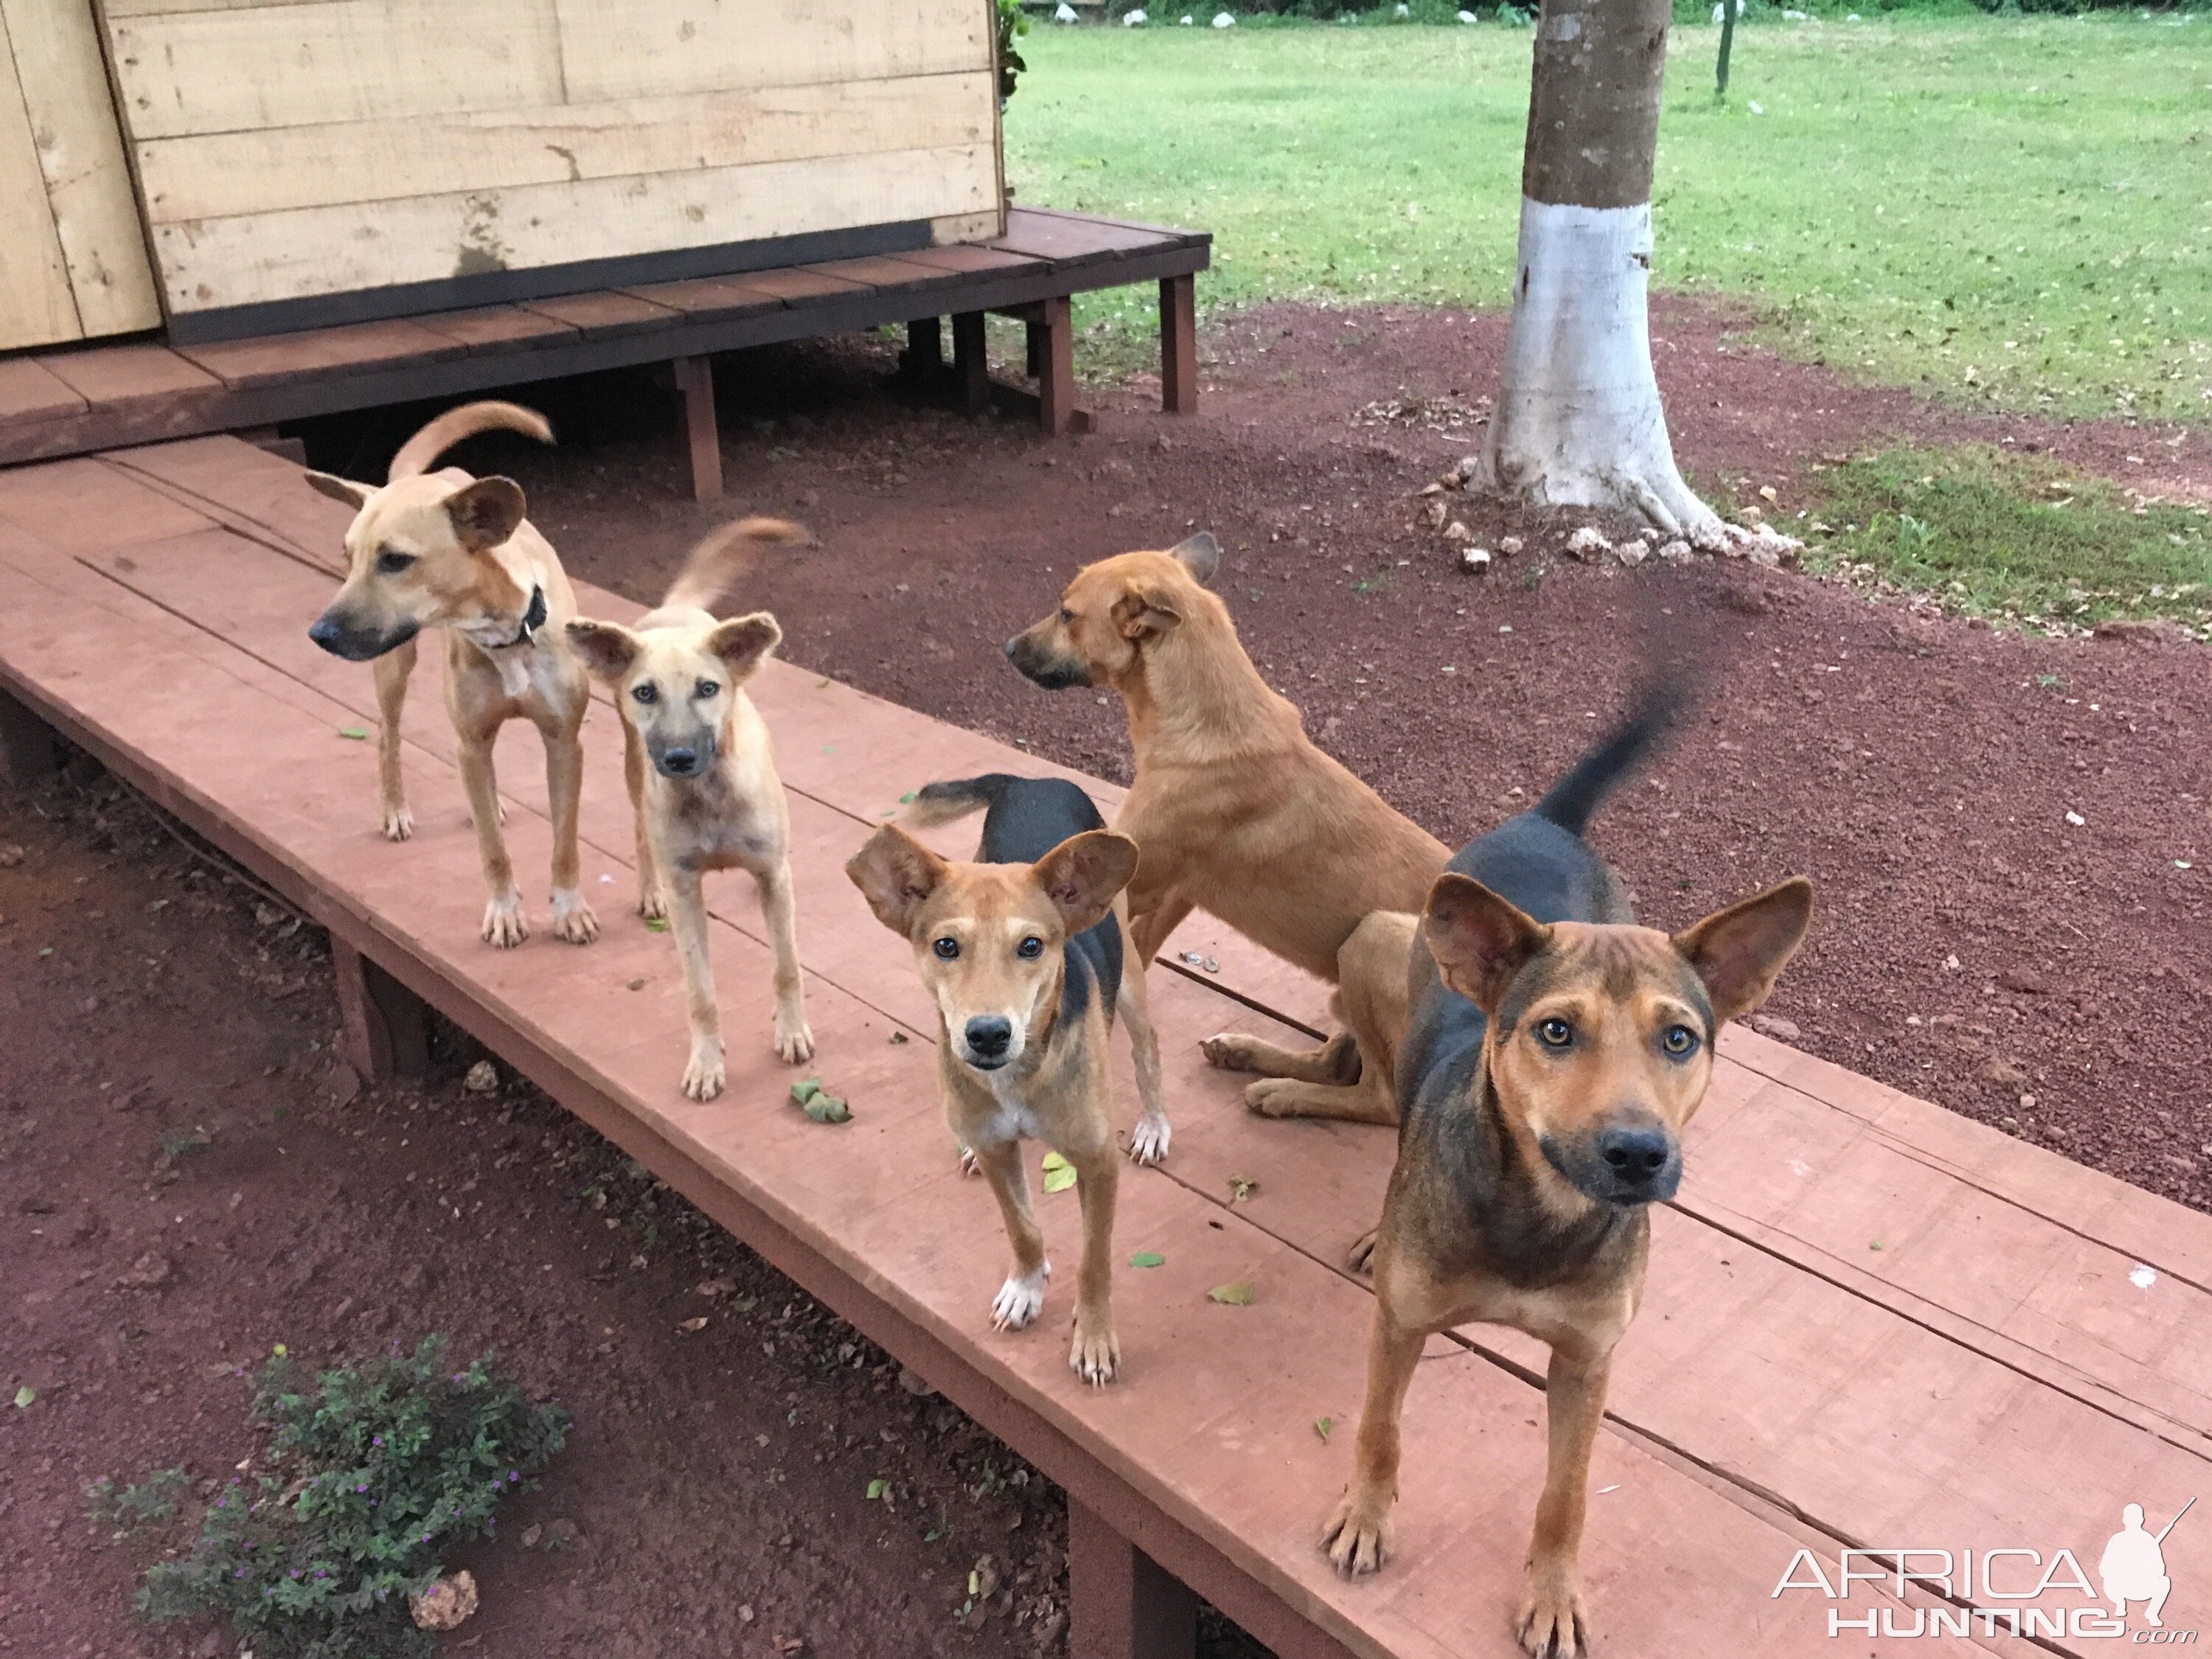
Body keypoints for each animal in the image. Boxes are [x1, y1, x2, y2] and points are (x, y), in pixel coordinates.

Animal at [307, 398, 606, 956]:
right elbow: (492, 850)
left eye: (396, 560)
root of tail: (425, 477)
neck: (507, 634)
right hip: (395, 669)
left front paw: (570, 910)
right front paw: (506, 912)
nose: (319, 634)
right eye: (347, 557)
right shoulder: (470, 740)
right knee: (389, 736)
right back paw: (397, 809)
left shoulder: (563, 744)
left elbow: (565, 842)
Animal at [566, 522, 818, 1106]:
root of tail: (673, 611)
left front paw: (792, 1031)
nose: (679, 758)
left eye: (708, 689)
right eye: (645, 692)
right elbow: (700, 993)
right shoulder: (686, 890)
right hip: (634, 771)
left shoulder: (774, 874)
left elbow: (786, 966)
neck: (708, 797)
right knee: (639, 832)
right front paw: (706, 1063)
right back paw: (647, 889)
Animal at [845, 779, 1141, 1389]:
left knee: (1151, 1062)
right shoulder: (996, 1147)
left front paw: (1094, 1337)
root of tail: (1034, 782)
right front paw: (1025, 1289)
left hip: (1133, 986)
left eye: (1031, 946)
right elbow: (1022, 1228)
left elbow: (1095, 1261)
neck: (1018, 1075)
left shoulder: (1099, 1164)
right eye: (946, 947)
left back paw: (1156, 1126)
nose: (986, 1035)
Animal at [1009, 540, 1451, 1150]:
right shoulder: (1171, 893)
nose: (1007, 648)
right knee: (1340, 1063)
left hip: (1375, 938)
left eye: (1067, 613)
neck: (1207, 717)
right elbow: (1135, 955)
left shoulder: (1132, 886)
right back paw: (1249, 1055)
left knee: (1381, 1099)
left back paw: (1285, 1094)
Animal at [1310, 681, 1814, 1655]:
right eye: (1555, 1031)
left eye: (1679, 1039)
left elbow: (1566, 1495)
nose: (1639, 1154)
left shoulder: (1586, 1366)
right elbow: (1380, 1428)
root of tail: (1548, 820)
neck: (1537, 1215)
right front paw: (1365, 1517)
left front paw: (1551, 1594)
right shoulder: (1402, 1326)